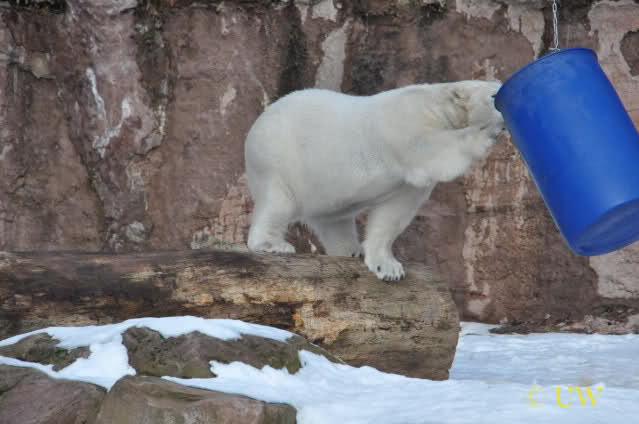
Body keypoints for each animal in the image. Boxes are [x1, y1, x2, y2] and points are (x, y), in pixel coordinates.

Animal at [244, 80, 505, 281]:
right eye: (494, 94)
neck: (436, 104)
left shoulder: (408, 184)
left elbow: (393, 213)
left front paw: (388, 268)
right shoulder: (407, 127)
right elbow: (434, 150)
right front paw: (485, 132)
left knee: (334, 220)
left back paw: (350, 251)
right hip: (279, 160)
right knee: (277, 203)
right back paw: (273, 244)